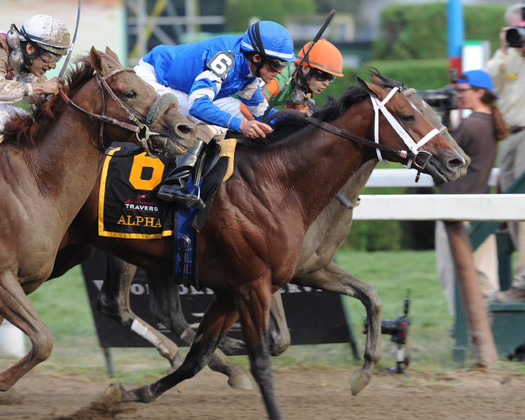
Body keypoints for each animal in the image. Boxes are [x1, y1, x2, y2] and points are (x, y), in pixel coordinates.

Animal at [53, 69, 464, 416]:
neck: (278, 181)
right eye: (408, 116)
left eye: (430, 108)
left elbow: (198, 357)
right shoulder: (254, 284)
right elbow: (266, 354)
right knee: (115, 304)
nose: (457, 161)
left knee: (159, 312)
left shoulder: (263, 281)